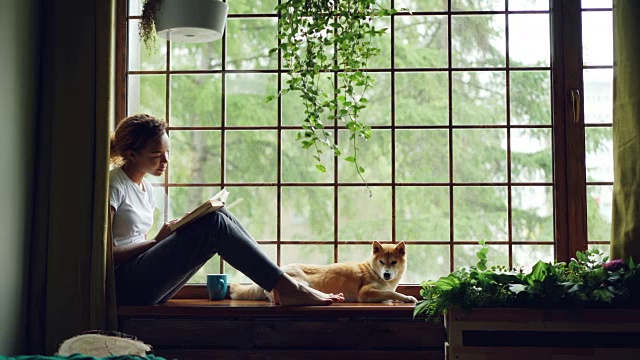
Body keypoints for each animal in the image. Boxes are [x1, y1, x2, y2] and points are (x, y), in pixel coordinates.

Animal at [228, 240, 418, 302]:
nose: (386, 274)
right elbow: (392, 293)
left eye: (393, 262)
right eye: (381, 262)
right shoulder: (364, 293)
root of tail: (279, 268)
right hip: (301, 281)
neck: (373, 271)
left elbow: (389, 293)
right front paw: (407, 298)